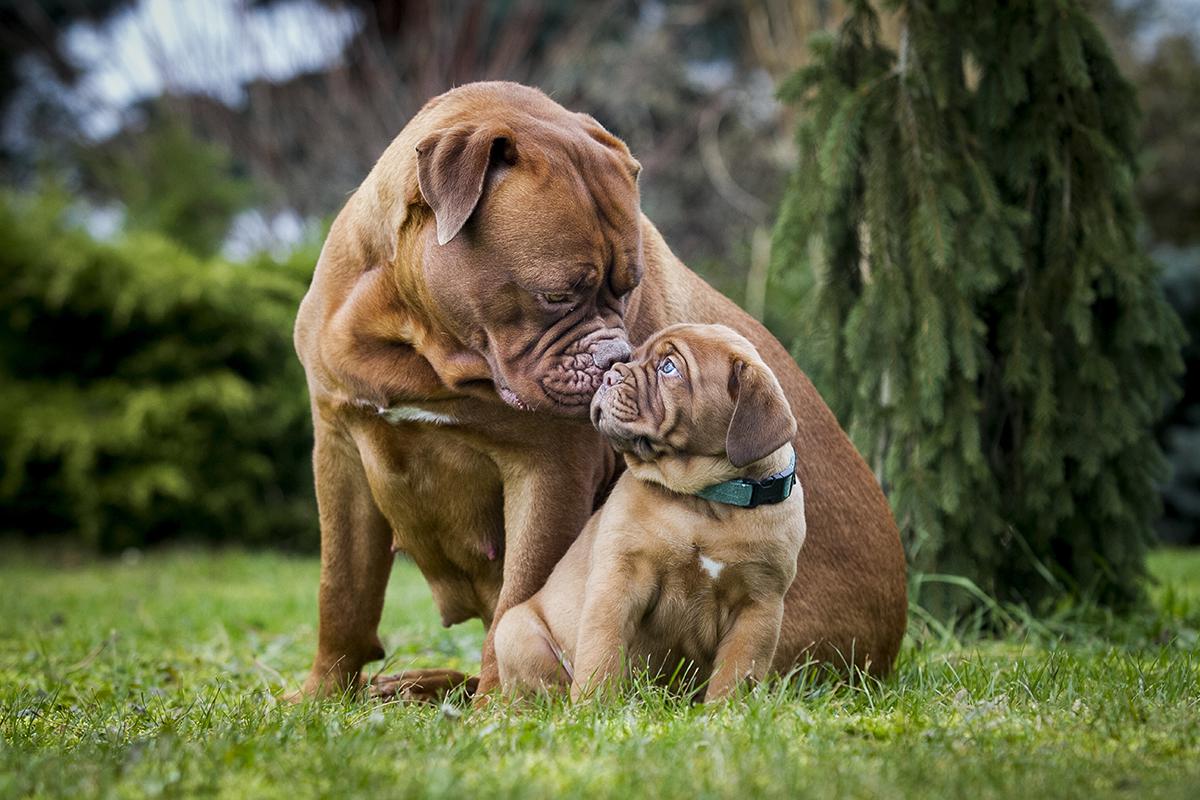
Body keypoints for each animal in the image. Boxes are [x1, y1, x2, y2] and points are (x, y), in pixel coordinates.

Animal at [492, 323, 811, 700]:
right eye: (633, 357)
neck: (706, 501)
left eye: (669, 368)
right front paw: (592, 705)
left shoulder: (759, 605)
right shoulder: (619, 578)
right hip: (514, 632)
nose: (610, 375)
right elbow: (602, 652)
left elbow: (734, 675)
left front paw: (723, 711)